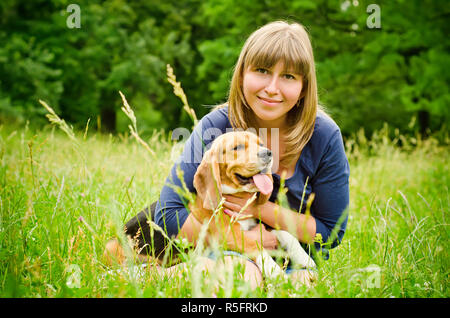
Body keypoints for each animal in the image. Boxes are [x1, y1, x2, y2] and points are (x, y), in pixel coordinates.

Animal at [190, 132, 316, 278]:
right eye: (237, 147)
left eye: (260, 144)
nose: (268, 153)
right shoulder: (228, 234)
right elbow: (257, 247)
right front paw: (275, 271)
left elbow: (284, 233)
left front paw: (304, 257)